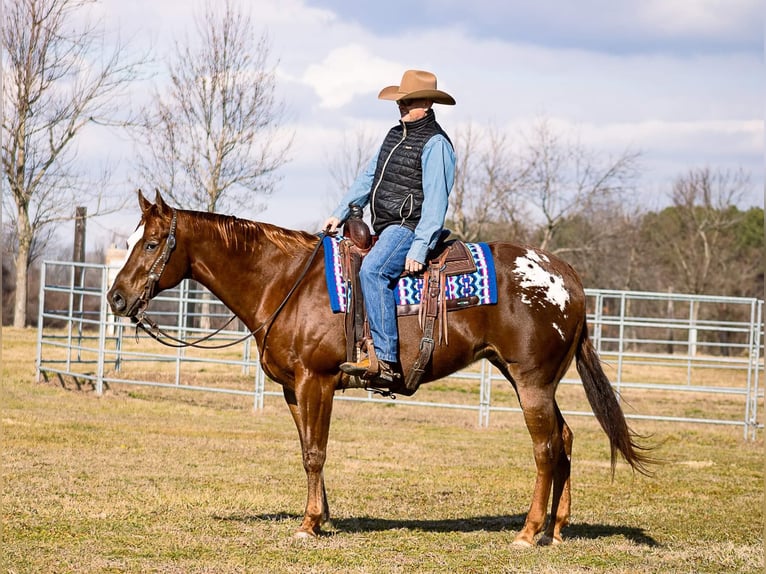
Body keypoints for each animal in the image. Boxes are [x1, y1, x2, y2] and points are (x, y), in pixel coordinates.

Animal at [105, 190, 652, 548]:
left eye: (151, 243)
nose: (115, 298)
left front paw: (308, 525)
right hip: (532, 379)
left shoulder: (317, 381)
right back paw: (557, 530)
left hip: (531, 380)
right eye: (131, 240)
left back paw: (528, 532)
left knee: (545, 448)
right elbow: (306, 449)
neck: (286, 281)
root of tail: (566, 277)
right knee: (565, 439)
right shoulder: (292, 389)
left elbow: (316, 453)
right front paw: (323, 517)